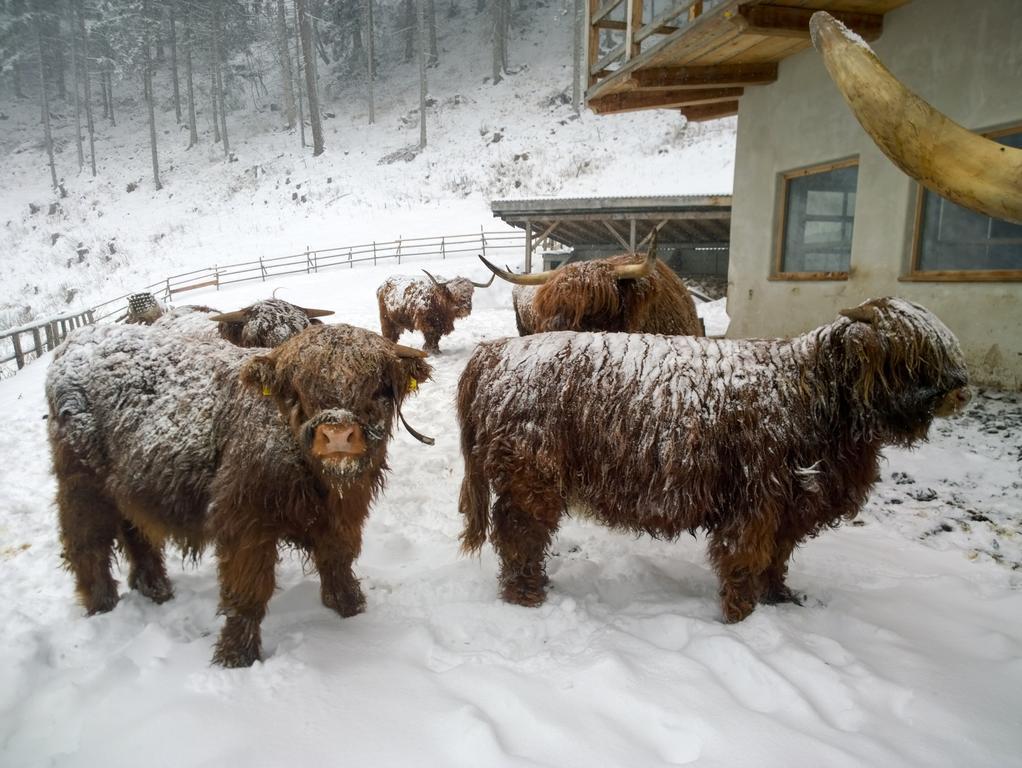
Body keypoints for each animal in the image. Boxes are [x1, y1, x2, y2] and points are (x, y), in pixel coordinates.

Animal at [47, 319, 431, 666]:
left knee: (136, 533)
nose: (337, 435)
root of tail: (76, 340)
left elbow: (337, 561)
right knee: (87, 545)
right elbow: (247, 592)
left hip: (128, 486)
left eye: (378, 388)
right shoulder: (245, 522)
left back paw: (155, 589)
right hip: (81, 485)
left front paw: (350, 609)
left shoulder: (345, 515)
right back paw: (102, 606)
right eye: (298, 388)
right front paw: (236, 657)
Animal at [459, 298, 968, 625]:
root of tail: (496, 352)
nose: (958, 390)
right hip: (531, 476)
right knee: (520, 535)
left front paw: (781, 598)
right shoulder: (756, 498)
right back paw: (527, 596)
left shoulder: (791, 505)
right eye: (909, 352)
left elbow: (777, 557)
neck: (815, 395)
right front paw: (741, 617)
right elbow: (744, 559)